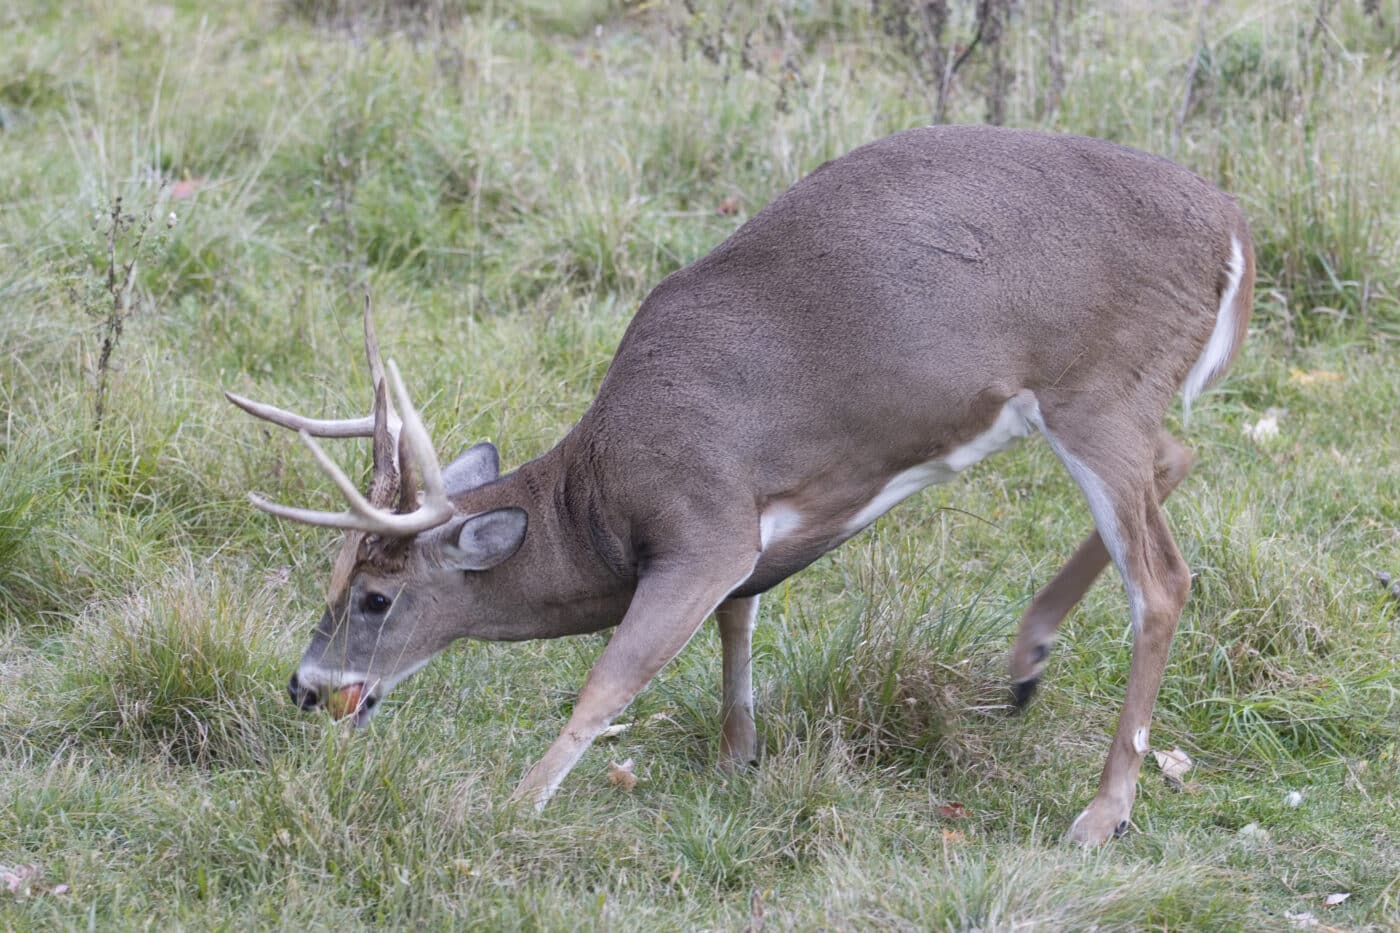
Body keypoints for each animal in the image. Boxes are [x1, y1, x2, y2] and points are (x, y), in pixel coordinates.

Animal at [232, 125, 1260, 840]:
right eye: (333, 578)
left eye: (375, 595)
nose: (304, 686)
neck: (600, 500)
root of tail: (1233, 232)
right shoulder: (746, 532)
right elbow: (739, 623)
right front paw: (737, 759)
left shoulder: (703, 522)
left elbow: (609, 680)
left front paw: (513, 806)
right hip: (1114, 403)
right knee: (1178, 458)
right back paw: (1026, 662)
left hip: (1097, 389)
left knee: (1163, 578)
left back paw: (1102, 810)